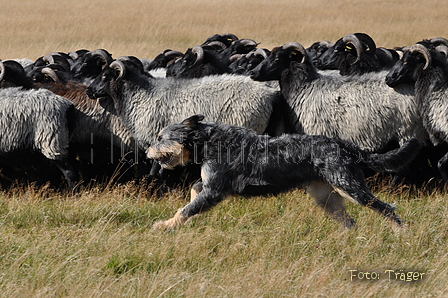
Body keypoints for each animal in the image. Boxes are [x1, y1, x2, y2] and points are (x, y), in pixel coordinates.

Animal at [148, 115, 424, 229]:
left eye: (161, 137)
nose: (148, 149)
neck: (209, 141)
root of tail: (343, 144)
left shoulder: (216, 190)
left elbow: (184, 210)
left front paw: (164, 225)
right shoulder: (209, 187)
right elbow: (193, 193)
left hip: (350, 187)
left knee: (387, 209)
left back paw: (401, 233)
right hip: (326, 197)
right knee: (350, 223)